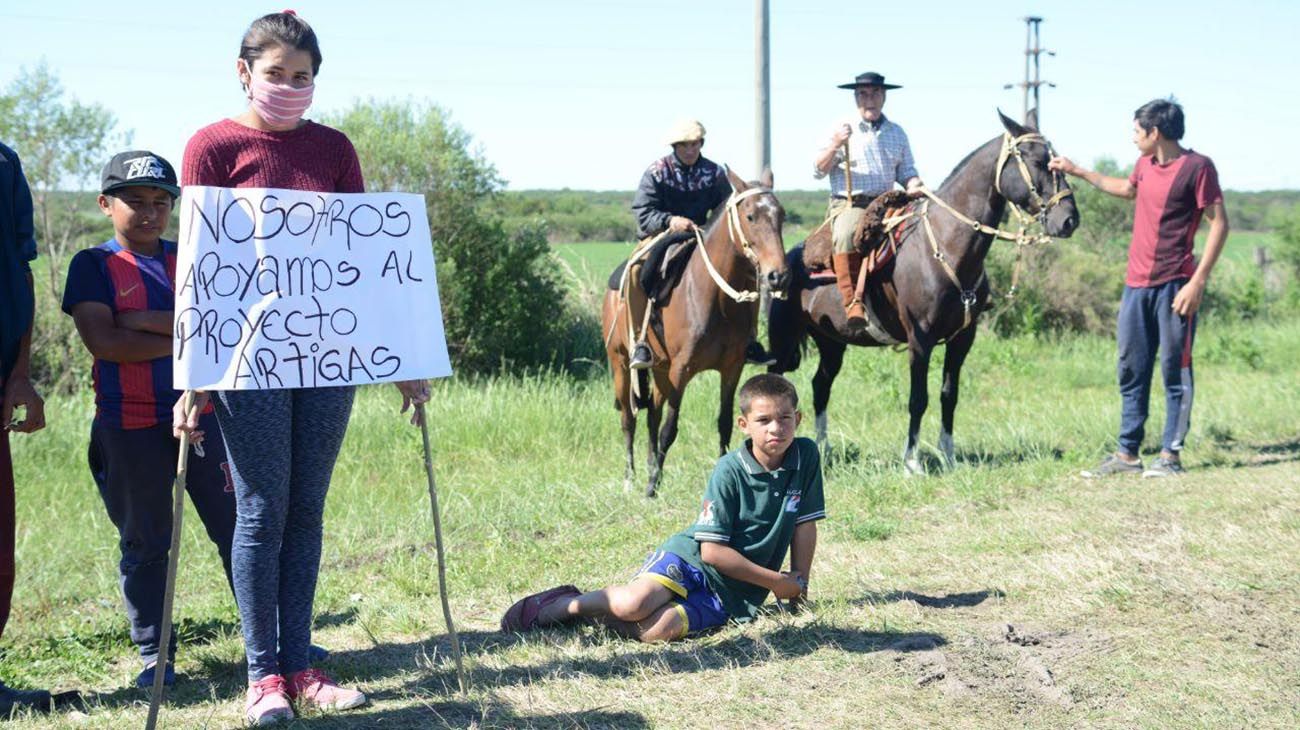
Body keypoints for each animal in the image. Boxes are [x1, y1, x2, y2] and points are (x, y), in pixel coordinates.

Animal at [600, 166, 790, 493]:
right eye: (750, 216)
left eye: (781, 215)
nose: (777, 276)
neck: (716, 299)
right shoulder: (681, 370)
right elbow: (670, 428)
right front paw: (651, 488)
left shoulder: (731, 368)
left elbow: (725, 422)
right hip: (621, 365)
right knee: (629, 419)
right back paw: (631, 479)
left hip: (660, 369)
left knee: (652, 414)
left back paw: (651, 468)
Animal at [769, 107, 1076, 472]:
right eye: (1037, 160)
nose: (1069, 219)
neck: (946, 244)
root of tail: (789, 260)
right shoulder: (920, 339)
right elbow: (918, 399)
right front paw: (911, 462)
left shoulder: (963, 339)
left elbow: (949, 395)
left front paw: (949, 455)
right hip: (784, 341)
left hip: (831, 343)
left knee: (820, 386)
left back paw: (823, 448)